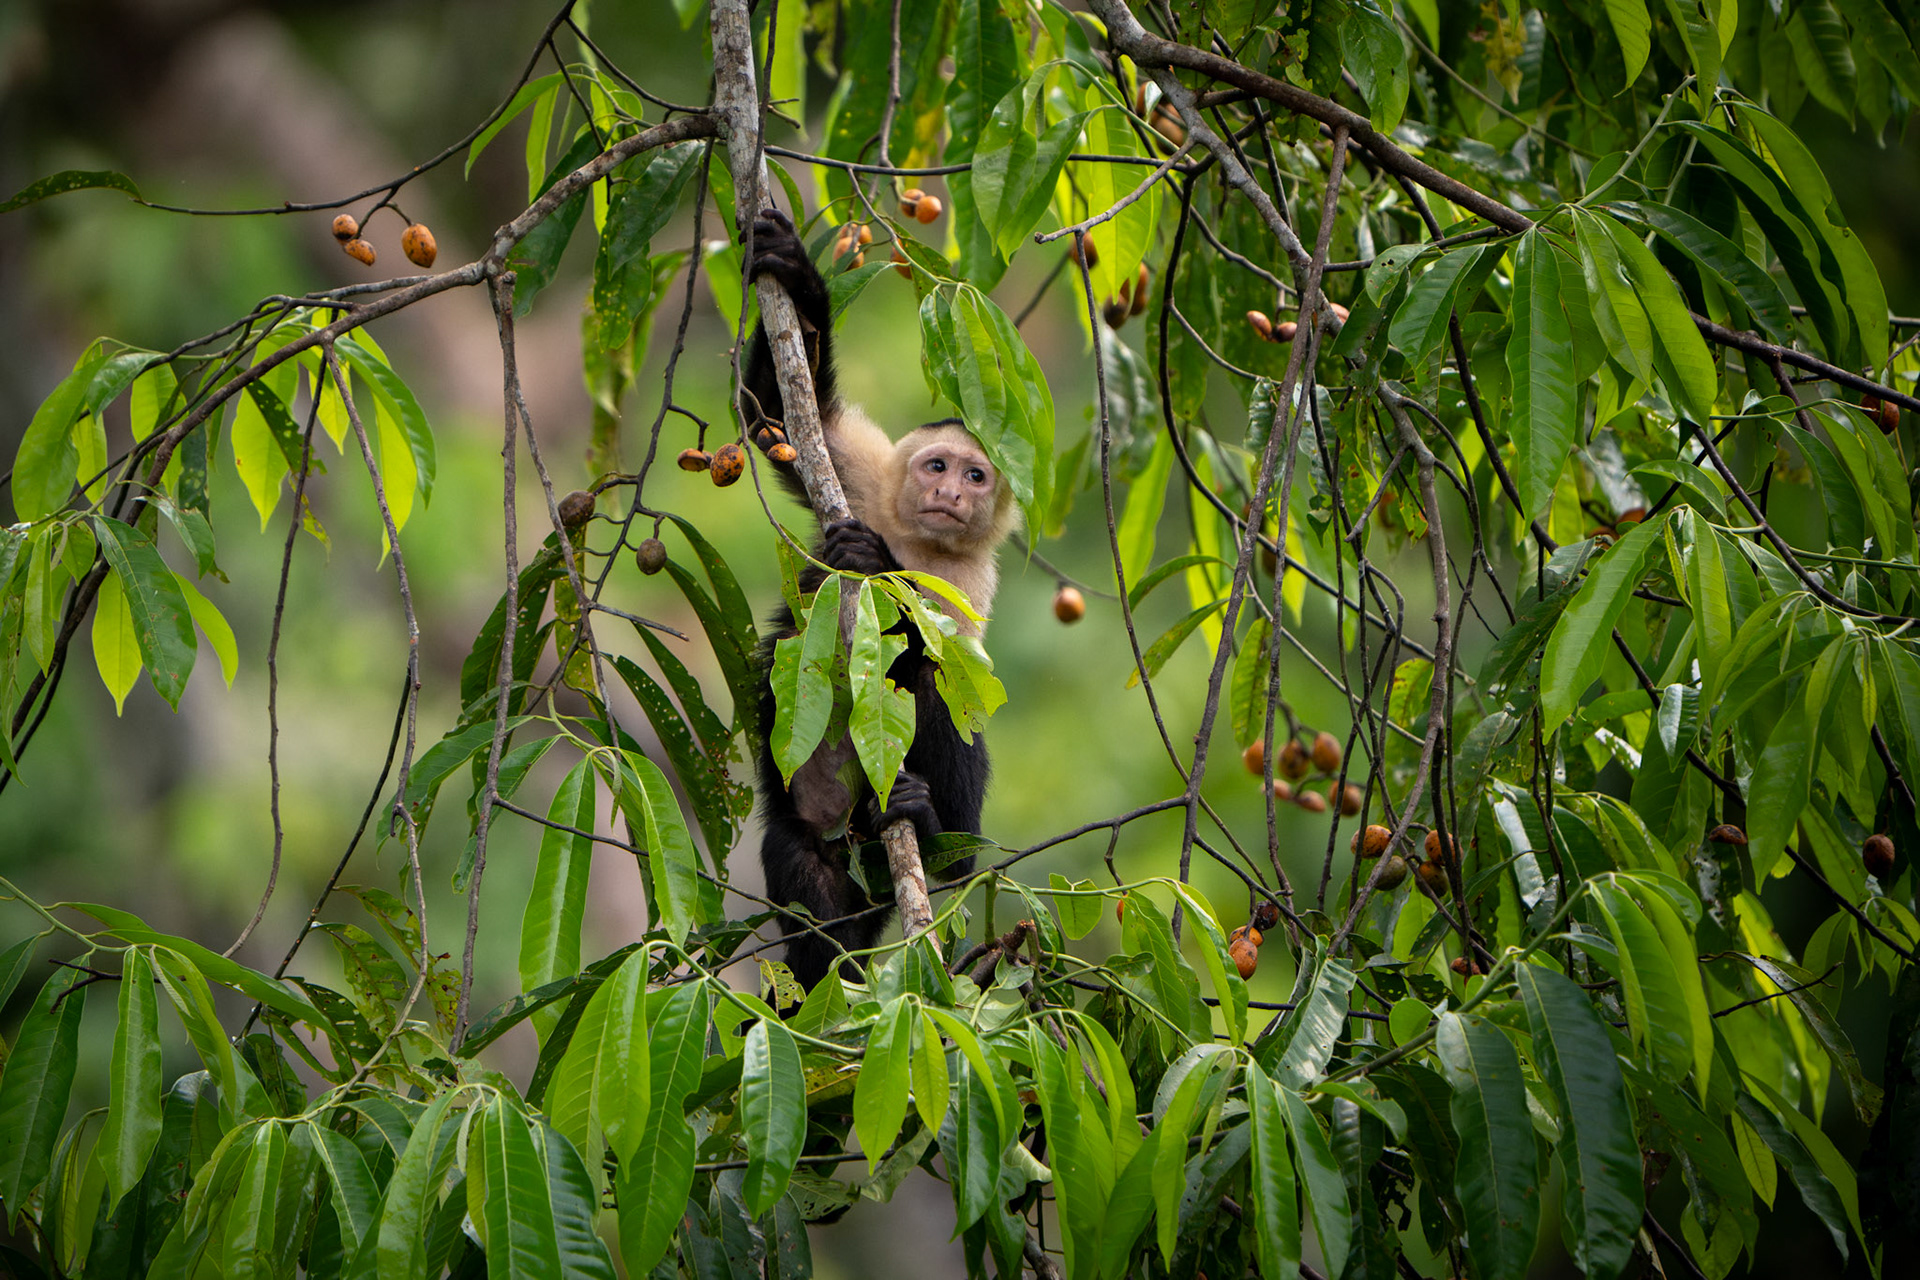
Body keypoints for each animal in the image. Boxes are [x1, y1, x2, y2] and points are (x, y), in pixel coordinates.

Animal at [737, 207, 1020, 991]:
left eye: (977, 477)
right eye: (936, 466)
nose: (951, 494)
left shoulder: (971, 578)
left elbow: (946, 657)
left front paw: (876, 567)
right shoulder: (864, 483)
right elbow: (782, 422)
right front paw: (798, 279)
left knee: (935, 686)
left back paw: (935, 831)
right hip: (814, 836)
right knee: (810, 886)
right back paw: (815, 974)